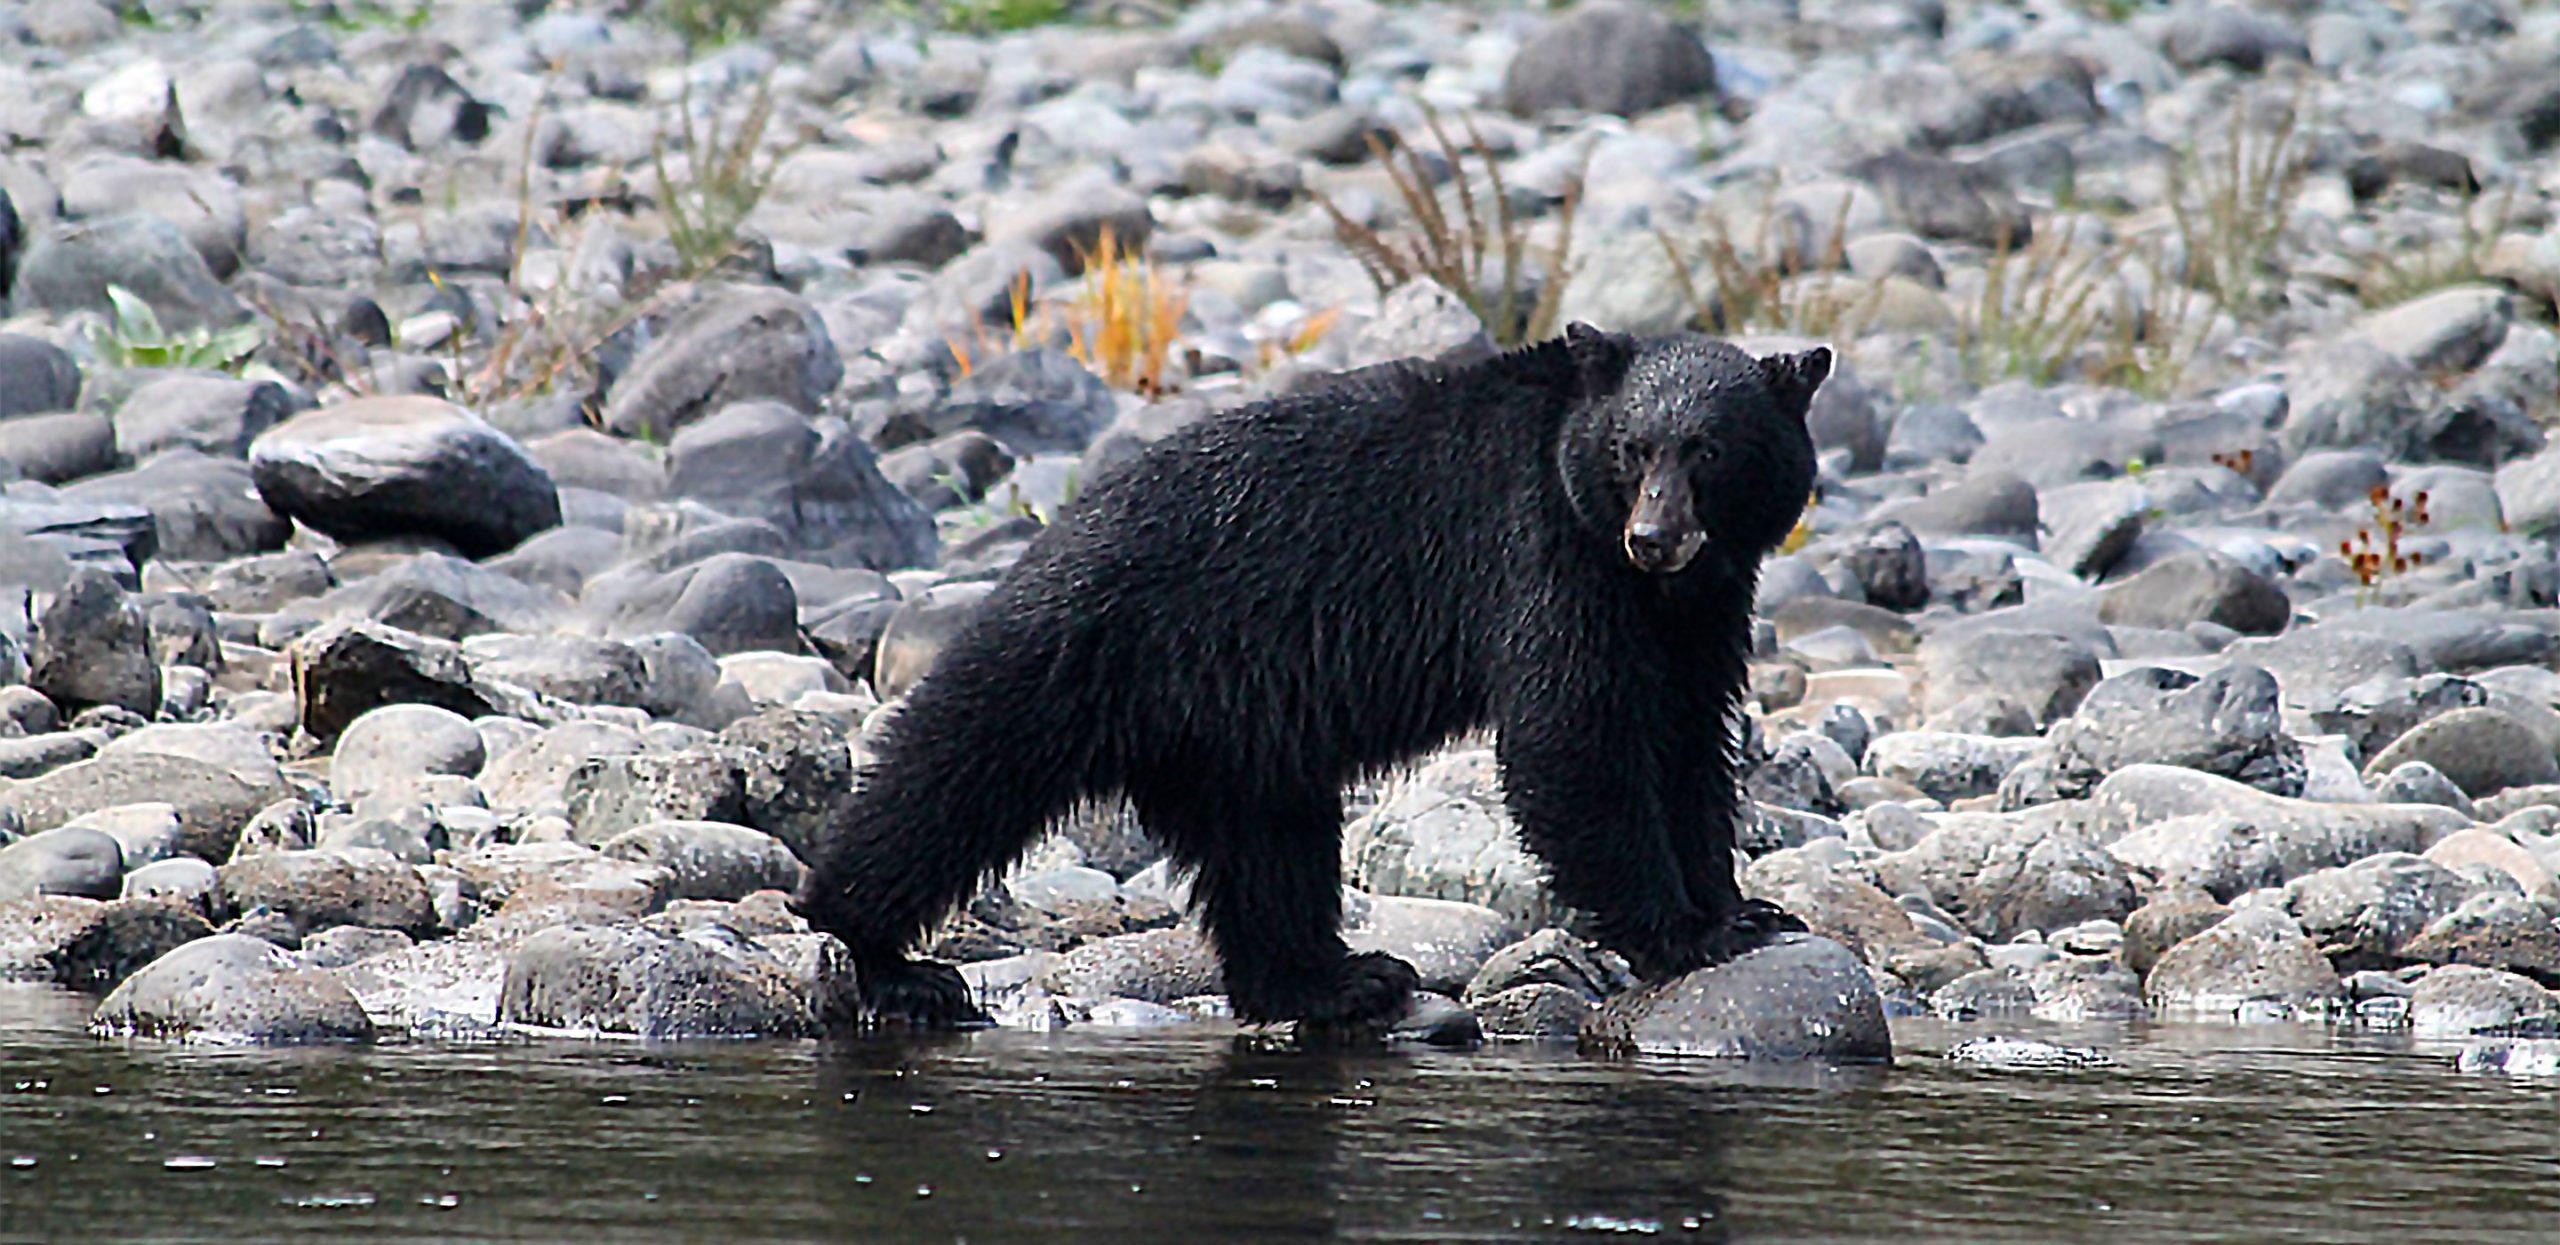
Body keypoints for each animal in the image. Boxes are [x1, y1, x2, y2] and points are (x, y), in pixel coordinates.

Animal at [795, 325, 1830, 1030]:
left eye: (1709, 450)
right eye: (1632, 448)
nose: (1653, 534)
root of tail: (1051, 535)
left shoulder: (1702, 609)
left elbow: (1689, 738)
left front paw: (1742, 906)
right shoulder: (1543, 553)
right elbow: (1572, 736)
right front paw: (1684, 931)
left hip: (1236, 729)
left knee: (1269, 850)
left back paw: (1336, 978)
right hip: (1070, 652)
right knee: (950, 774)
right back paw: (877, 947)